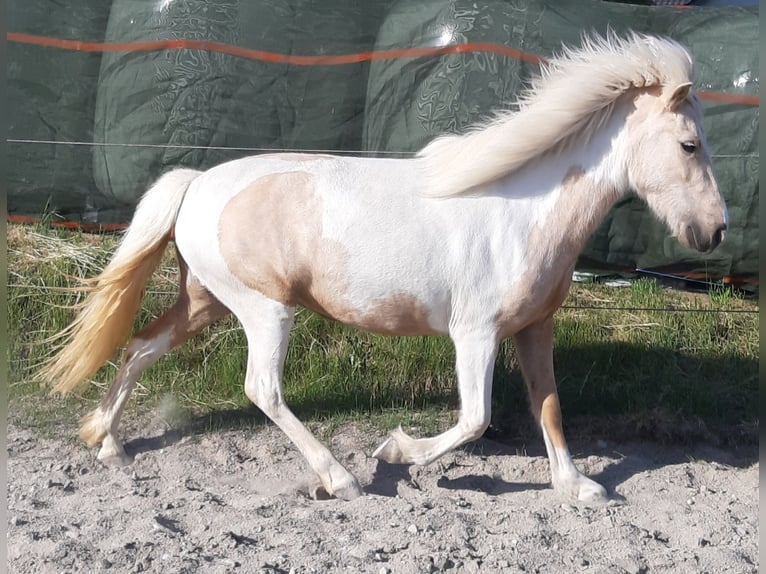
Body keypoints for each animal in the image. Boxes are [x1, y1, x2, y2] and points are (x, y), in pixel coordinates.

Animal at [41, 33, 727, 503]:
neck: (525, 211)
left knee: (138, 347)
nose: (714, 230)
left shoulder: (534, 328)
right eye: (689, 145)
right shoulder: (474, 333)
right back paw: (340, 478)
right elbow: (475, 419)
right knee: (262, 389)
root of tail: (195, 183)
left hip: (206, 301)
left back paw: (107, 443)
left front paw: (580, 487)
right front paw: (398, 453)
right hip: (266, 309)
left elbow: (549, 406)